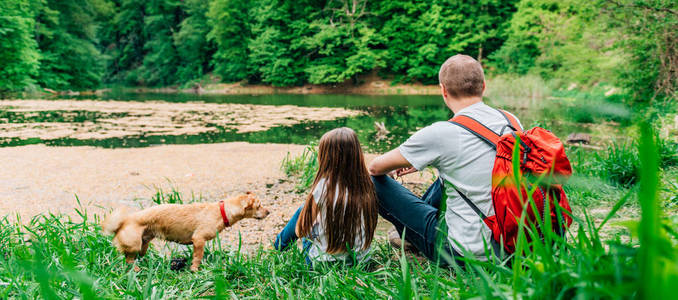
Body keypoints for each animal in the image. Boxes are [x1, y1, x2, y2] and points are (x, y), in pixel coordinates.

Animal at [102, 192, 270, 272]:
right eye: (259, 206)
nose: (269, 212)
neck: (221, 211)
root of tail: (122, 222)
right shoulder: (199, 240)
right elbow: (198, 257)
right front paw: (194, 269)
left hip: (143, 244)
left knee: (131, 256)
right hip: (135, 244)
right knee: (129, 260)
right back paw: (135, 269)